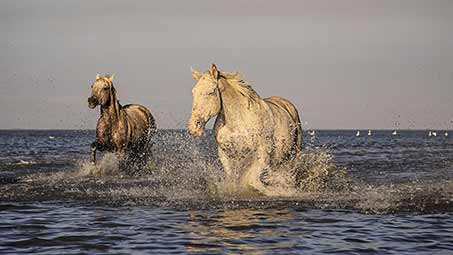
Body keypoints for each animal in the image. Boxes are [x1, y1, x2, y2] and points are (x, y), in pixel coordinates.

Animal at [188, 63, 304, 193]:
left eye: (211, 92)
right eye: (193, 92)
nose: (193, 127)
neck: (238, 123)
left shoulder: (262, 154)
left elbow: (252, 181)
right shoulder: (226, 154)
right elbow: (232, 178)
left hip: (292, 155)